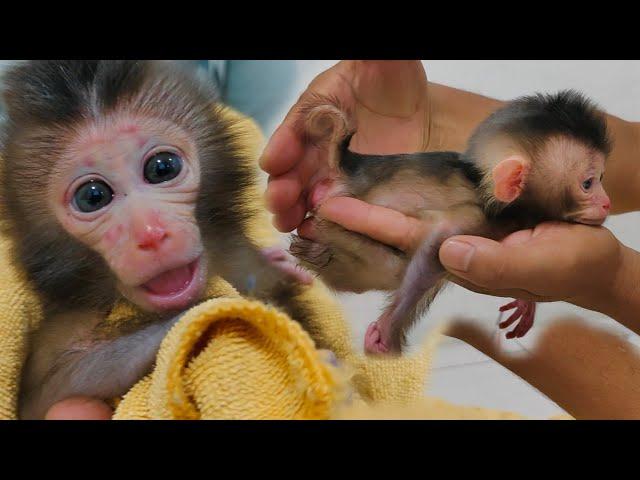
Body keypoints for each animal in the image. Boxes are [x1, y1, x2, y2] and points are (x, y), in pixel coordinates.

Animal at [292, 90, 612, 354]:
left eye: (602, 178)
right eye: (587, 184)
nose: (607, 202)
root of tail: (352, 165)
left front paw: (526, 302)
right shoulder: (477, 217)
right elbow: (436, 248)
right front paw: (387, 330)